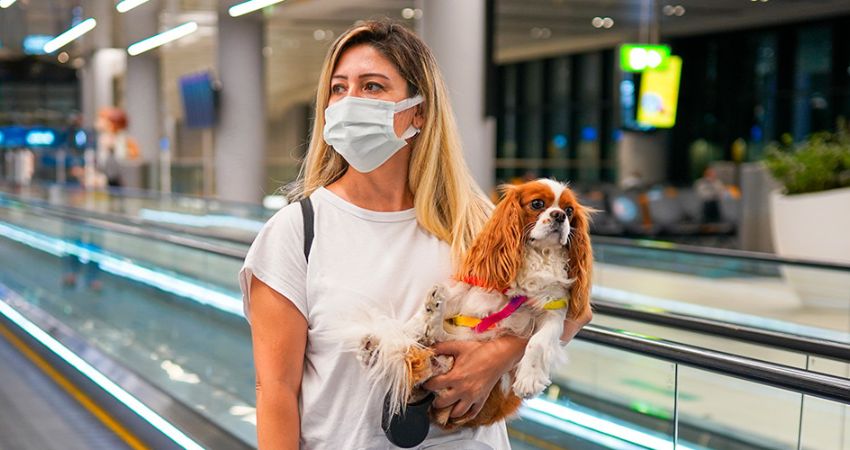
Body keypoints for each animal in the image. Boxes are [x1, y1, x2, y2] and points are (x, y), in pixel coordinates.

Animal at [356, 178, 588, 428]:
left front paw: (530, 379)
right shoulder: (471, 291)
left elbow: (538, 341)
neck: (537, 255)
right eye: (537, 204)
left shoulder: (554, 311)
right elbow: (419, 318)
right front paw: (400, 332)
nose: (559, 216)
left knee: (441, 344)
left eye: (569, 210)